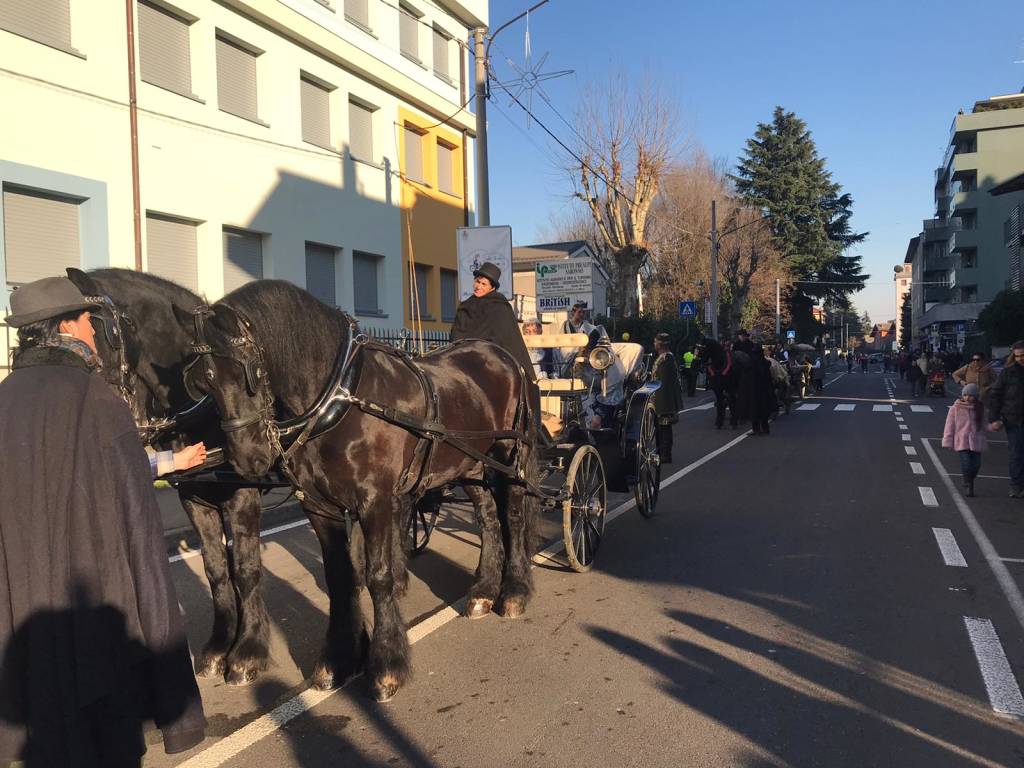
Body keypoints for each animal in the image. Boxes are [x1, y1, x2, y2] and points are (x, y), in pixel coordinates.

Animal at [67, 268, 276, 684]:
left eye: (92, 333)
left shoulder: (242, 493)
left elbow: (245, 568)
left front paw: (249, 650)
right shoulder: (194, 497)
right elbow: (216, 569)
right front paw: (220, 645)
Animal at [174, 282, 544, 704]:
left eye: (251, 371)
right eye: (203, 383)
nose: (248, 458)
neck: (340, 398)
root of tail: (502, 356)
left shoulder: (376, 502)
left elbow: (379, 576)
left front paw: (386, 666)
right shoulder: (319, 507)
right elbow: (339, 578)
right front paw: (338, 659)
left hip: (508, 456)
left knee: (511, 516)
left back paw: (513, 591)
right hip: (469, 464)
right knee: (487, 518)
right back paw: (482, 590)